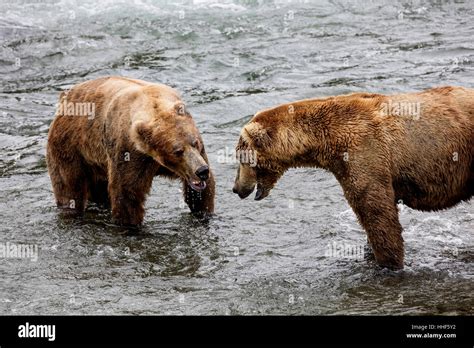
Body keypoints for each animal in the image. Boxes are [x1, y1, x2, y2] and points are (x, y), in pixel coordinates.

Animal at [46, 76, 215, 226]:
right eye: (177, 151)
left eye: (196, 143)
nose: (201, 170)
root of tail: (66, 97)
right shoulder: (128, 151)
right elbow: (128, 193)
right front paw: (131, 225)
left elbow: (202, 192)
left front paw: (203, 213)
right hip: (70, 147)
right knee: (70, 189)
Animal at [233, 86, 474, 270]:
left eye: (240, 157)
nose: (236, 188)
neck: (325, 143)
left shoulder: (366, 153)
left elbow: (377, 213)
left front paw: (389, 264)